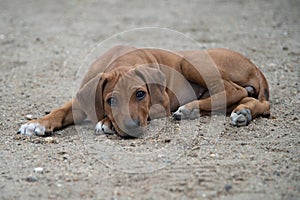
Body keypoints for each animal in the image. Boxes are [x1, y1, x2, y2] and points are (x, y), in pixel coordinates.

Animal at [19, 44, 272, 137]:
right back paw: (243, 113)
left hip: (189, 61)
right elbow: (61, 110)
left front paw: (107, 122)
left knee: (235, 90)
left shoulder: (160, 103)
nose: (132, 127)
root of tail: (254, 65)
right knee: (257, 102)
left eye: (140, 94)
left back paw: (189, 108)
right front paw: (37, 123)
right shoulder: (84, 98)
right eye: (110, 100)